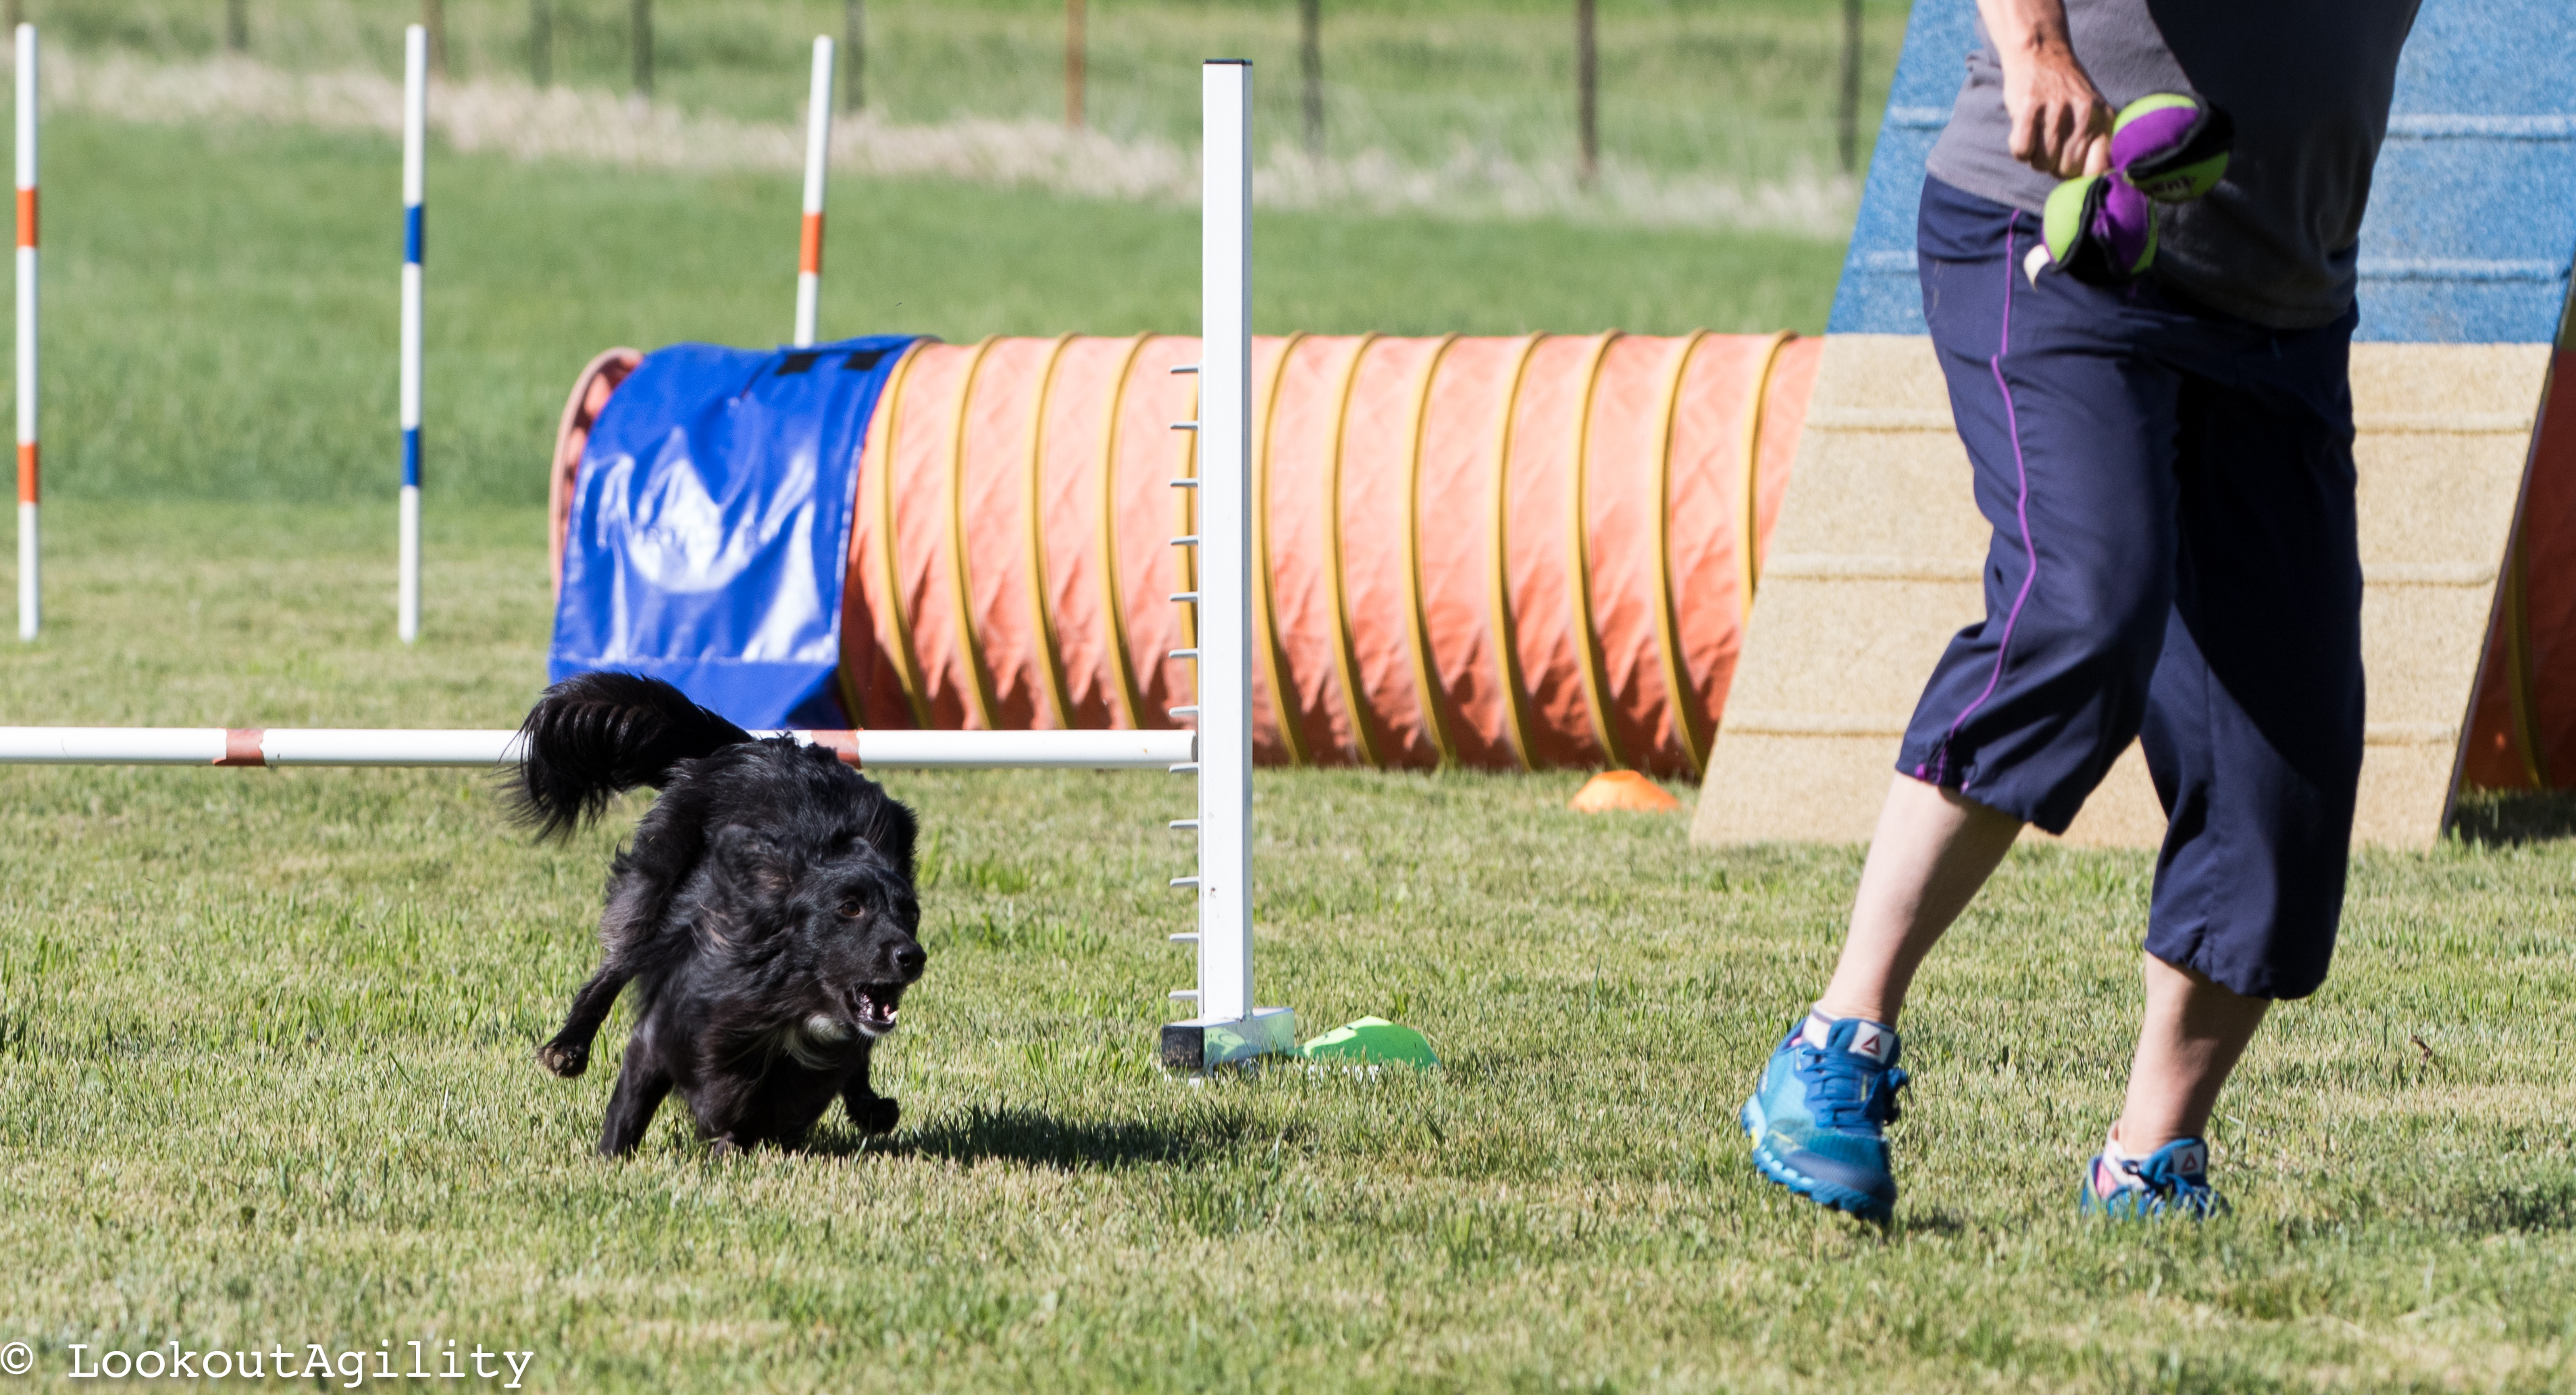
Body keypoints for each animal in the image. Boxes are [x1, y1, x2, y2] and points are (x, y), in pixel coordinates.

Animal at [510, 671, 926, 1157]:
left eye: (911, 914)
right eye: (849, 908)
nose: (912, 957)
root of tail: (752, 746)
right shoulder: (667, 1028)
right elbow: (634, 1108)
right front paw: (611, 1162)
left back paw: (868, 1105)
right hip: (656, 889)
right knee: (613, 968)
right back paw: (568, 1047)